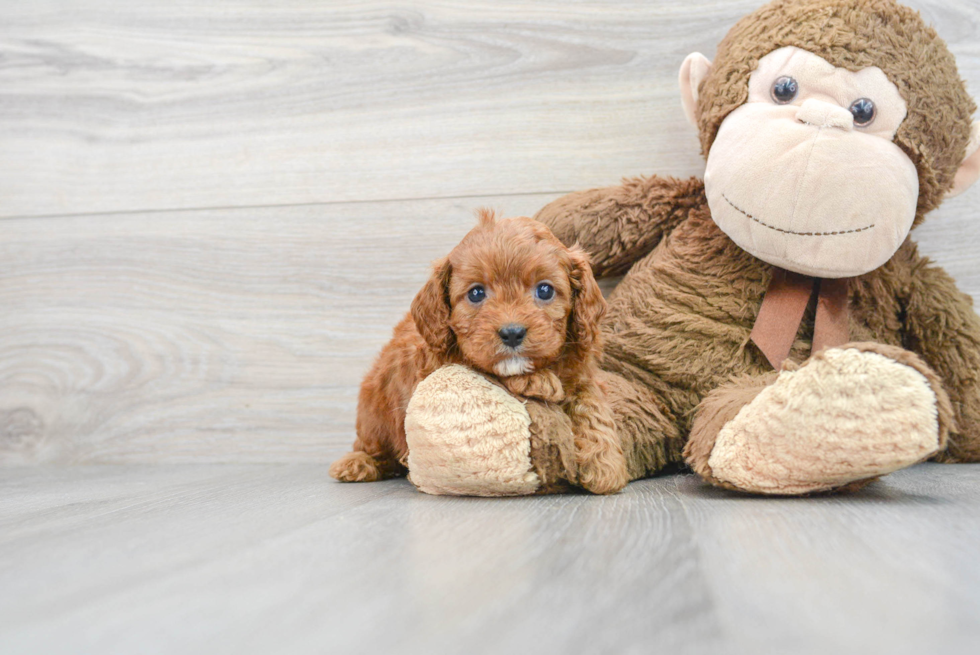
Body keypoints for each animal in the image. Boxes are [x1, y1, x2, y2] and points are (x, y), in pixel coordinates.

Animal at [332, 211, 628, 498]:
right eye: (476, 293)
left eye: (545, 290)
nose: (512, 333)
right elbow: (485, 367)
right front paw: (536, 380)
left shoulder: (582, 371)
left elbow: (592, 403)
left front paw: (605, 463)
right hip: (373, 412)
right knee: (373, 447)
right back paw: (358, 463)